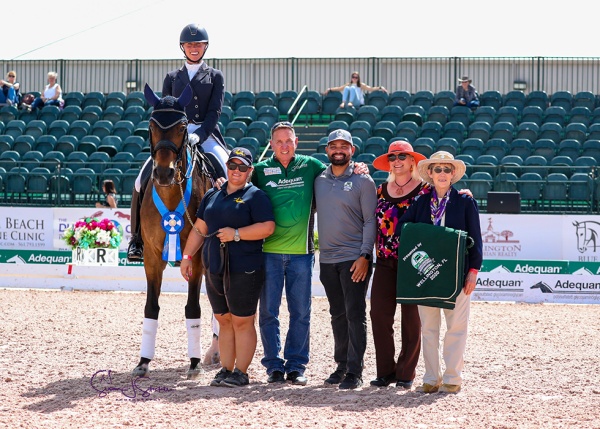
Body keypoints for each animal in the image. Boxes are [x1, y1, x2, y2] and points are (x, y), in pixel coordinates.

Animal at [132, 83, 212, 378]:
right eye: (151, 126)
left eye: (183, 127)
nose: (164, 174)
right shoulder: (152, 257)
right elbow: (151, 306)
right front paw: (143, 362)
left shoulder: (196, 259)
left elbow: (193, 307)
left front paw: (195, 363)